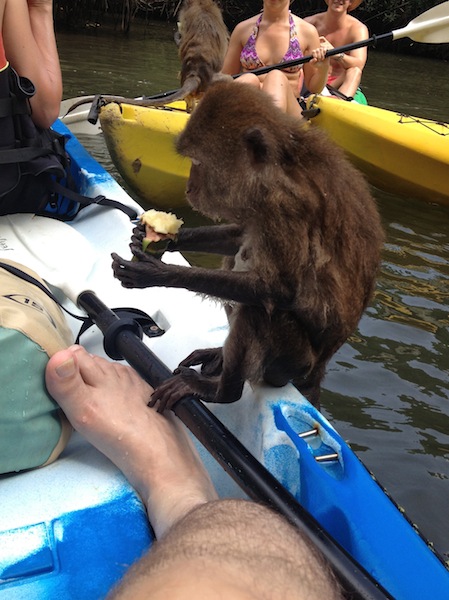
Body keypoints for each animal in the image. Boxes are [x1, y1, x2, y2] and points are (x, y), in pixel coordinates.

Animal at [110, 79, 384, 410]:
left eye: (197, 162)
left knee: (257, 309)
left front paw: (156, 272)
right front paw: (158, 238)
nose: (189, 188)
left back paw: (222, 393)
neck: (282, 164)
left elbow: (280, 290)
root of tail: (317, 371)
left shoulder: (285, 206)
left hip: (290, 365)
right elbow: (240, 237)